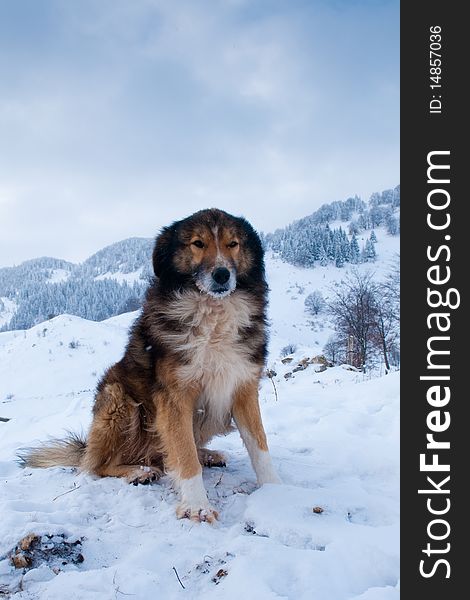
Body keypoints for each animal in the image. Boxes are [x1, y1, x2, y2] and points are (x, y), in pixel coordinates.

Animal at [19, 209, 280, 524]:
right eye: (197, 243)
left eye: (233, 244)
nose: (222, 274)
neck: (212, 313)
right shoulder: (175, 396)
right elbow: (183, 454)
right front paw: (197, 505)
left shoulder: (242, 385)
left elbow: (260, 445)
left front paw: (277, 492)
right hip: (119, 400)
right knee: (99, 465)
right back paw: (137, 472)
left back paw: (206, 454)